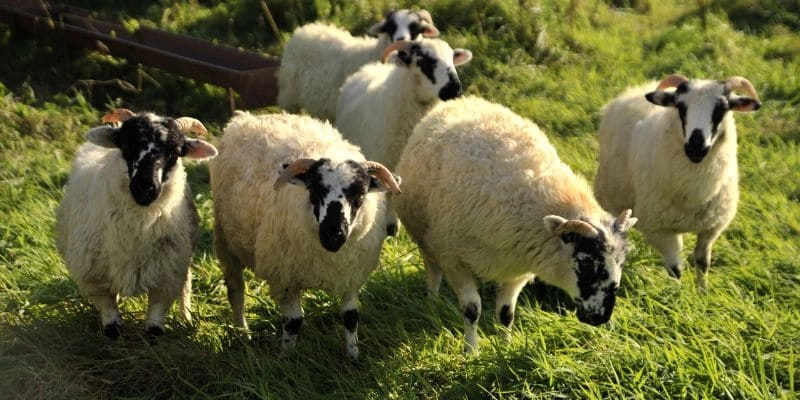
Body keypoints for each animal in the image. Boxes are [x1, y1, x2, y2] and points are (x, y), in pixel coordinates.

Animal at [56, 108, 218, 338]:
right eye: (126, 143)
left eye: (175, 152)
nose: (144, 187)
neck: (136, 232)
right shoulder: (95, 279)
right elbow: (111, 321)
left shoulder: (167, 276)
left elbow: (155, 325)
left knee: (186, 285)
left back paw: (185, 317)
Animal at [210, 111, 401, 360]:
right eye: (315, 189)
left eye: (360, 194)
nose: (334, 234)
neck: (330, 258)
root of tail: (247, 117)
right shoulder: (285, 278)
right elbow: (293, 322)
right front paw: (286, 358)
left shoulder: (351, 275)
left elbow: (350, 318)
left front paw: (353, 356)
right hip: (226, 242)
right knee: (236, 292)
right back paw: (242, 334)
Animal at [335, 38, 472, 235]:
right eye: (423, 60)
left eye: (453, 60)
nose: (454, 89)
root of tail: (373, 67)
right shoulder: (384, 161)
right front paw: (387, 225)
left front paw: (393, 225)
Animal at [393, 96, 637, 352]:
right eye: (585, 261)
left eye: (621, 262)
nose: (601, 318)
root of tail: (465, 100)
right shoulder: (455, 260)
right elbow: (472, 310)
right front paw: (472, 351)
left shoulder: (514, 271)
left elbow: (506, 313)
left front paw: (505, 347)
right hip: (428, 239)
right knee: (432, 271)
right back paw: (432, 302)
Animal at [593, 74, 761, 290]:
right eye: (681, 107)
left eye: (721, 109)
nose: (696, 146)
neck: (694, 193)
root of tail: (639, 87)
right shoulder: (660, 230)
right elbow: (675, 270)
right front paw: (677, 293)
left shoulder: (711, 228)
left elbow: (703, 263)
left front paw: (703, 291)